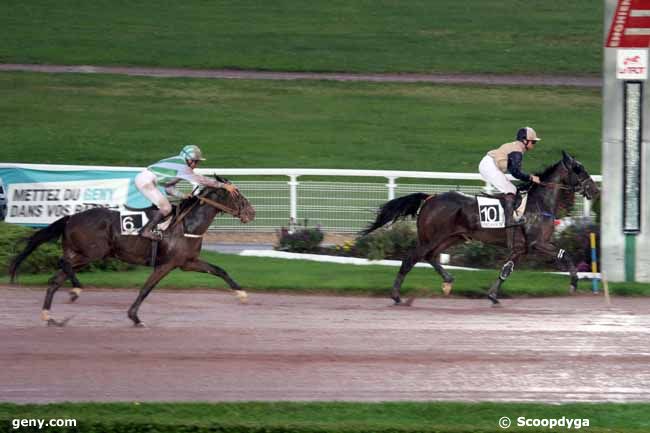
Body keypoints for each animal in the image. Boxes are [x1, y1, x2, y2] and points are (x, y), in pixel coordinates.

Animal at [10, 181, 253, 326]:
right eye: (238, 196)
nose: (252, 212)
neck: (187, 224)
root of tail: (71, 218)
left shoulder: (187, 262)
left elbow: (219, 270)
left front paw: (242, 294)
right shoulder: (166, 264)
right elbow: (146, 289)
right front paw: (134, 317)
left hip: (81, 253)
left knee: (55, 278)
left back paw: (50, 314)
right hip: (92, 252)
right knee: (63, 263)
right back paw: (76, 288)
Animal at [360, 151, 596, 304]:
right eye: (579, 169)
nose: (594, 190)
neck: (539, 204)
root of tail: (430, 197)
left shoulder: (521, 248)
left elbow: (506, 270)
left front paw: (492, 295)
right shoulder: (538, 243)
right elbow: (565, 254)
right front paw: (574, 283)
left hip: (452, 237)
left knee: (431, 257)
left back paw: (448, 281)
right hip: (432, 237)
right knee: (411, 259)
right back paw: (396, 296)